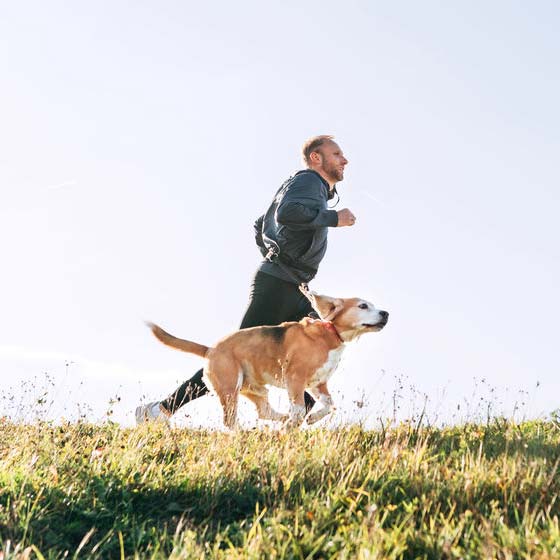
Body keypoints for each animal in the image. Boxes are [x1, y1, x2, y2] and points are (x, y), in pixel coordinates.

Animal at [147, 288, 388, 428]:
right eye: (363, 306)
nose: (385, 313)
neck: (330, 333)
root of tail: (210, 349)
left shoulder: (318, 384)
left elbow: (330, 405)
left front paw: (311, 419)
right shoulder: (295, 379)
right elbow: (299, 408)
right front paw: (297, 423)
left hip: (255, 389)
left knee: (263, 412)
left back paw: (282, 421)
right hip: (230, 388)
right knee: (230, 421)